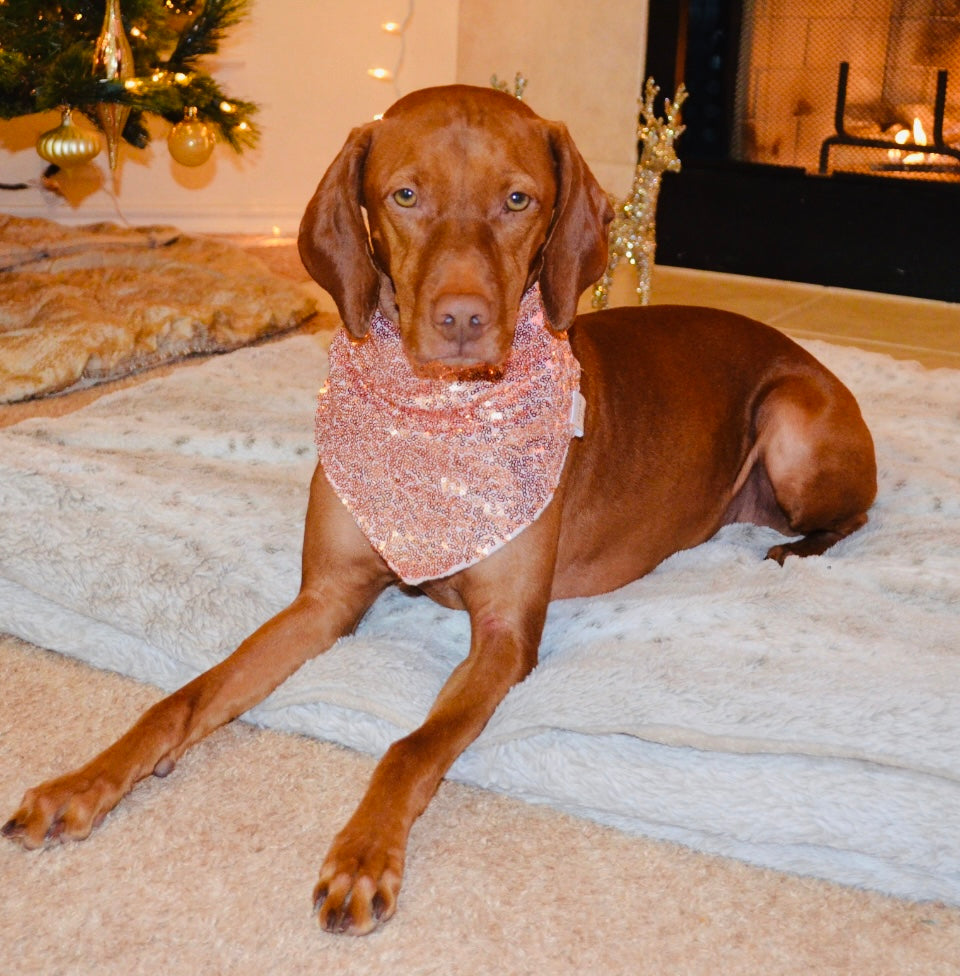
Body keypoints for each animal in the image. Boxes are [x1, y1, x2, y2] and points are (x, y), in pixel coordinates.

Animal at [3, 87, 872, 936]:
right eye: (406, 196)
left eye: (519, 199)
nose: (462, 320)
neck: (438, 418)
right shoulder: (326, 599)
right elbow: (184, 695)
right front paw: (83, 783)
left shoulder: (506, 638)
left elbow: (412, 747)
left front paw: (363, 856)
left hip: (791, 419)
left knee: (851, 516)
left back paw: (793, 550)